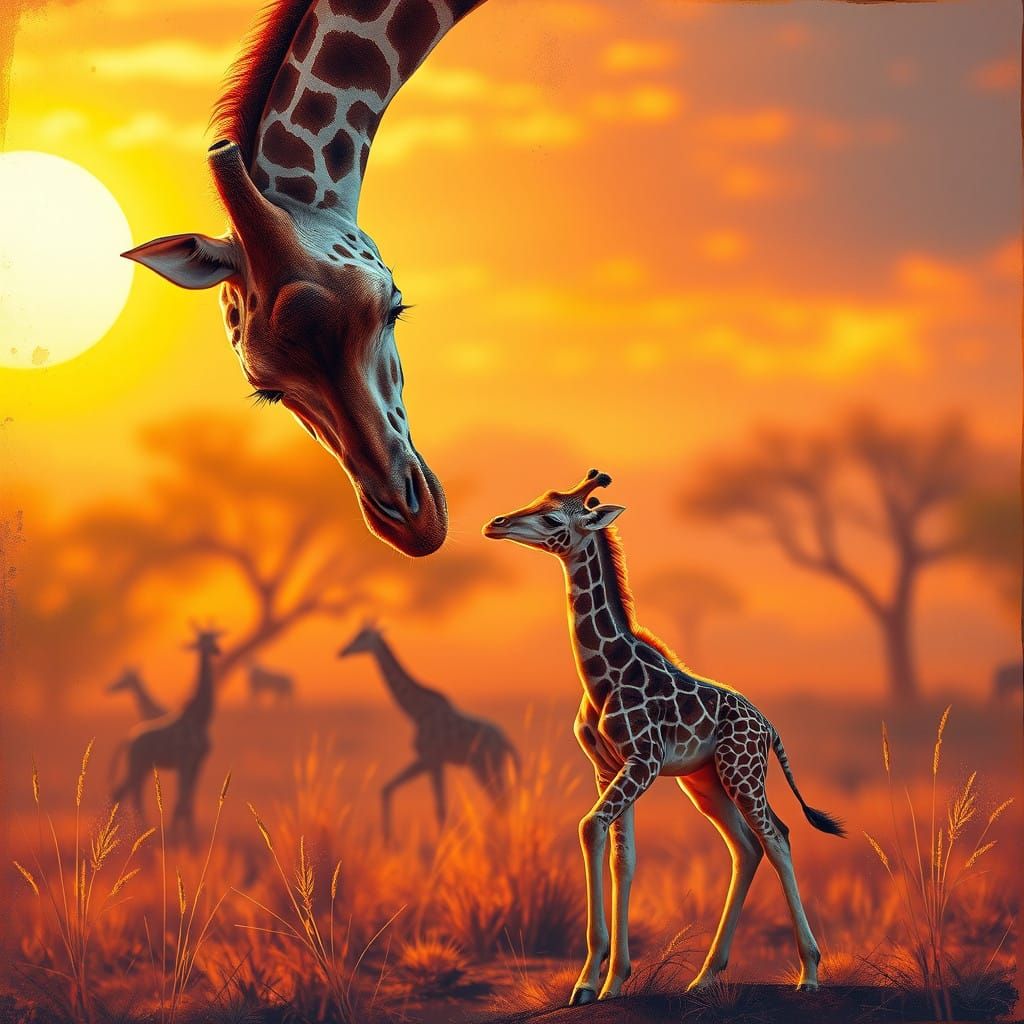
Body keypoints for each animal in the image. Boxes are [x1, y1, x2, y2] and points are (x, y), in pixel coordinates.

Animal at [110, 628, 223, 844]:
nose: (217, 650)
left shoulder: (197, 762)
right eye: (202, 642)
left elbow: (187, 802)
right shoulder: (184, 761)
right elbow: (182, 801)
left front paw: (189, 839)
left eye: (213, 639)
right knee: (124, 793)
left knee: (128, 793)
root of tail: (130, 739)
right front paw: (179, 839)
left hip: (143, 768)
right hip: (137, 765)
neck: (198, 718)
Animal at [339, 622, 519, 841]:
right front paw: (388, 839)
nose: (342, 651)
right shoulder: (426, 759)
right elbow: (387, 788)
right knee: (501, 800)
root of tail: (506, 741)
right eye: (356, 634)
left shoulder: (432, 759)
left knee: (501, 800)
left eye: (362, 636)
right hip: (487, 766)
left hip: (485, 765)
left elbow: (439, 808)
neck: (416, 711)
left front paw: (442, 844)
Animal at [484, 471, 845, 1005]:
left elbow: (589, 828)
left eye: (552, 518)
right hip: (704, 781)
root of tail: (769, 728)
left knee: (776, 836)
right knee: (746, 847)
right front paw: (613, 979)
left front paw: (589, 980)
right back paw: (705, 977)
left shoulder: (643, 763)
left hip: (742, 772)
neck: (603, 676)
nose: (497, 523)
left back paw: (809, 973)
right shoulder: (609, 768)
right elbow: (623, 857)